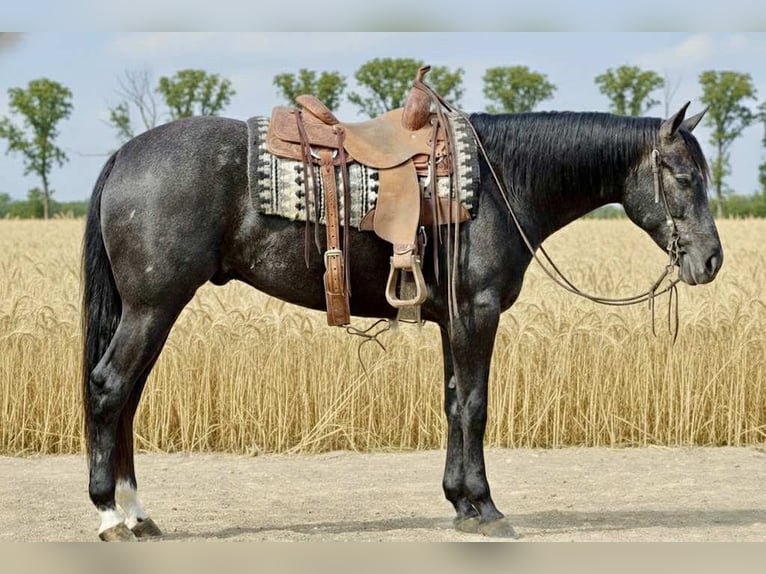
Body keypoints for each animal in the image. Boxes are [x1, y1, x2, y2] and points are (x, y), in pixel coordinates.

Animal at [81, 101, 722, 541]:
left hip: (152, 311)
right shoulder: (477, 313)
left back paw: (137, 513)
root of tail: (124, 155)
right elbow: (475, 406)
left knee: (128, 398)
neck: (501, 182)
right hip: (153, 307)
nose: (711, 260)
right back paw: (110, 514)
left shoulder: (452, 321)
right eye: (685, 177)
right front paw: (487, 508)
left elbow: (453, 403)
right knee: (111, 389)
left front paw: (460, 503)